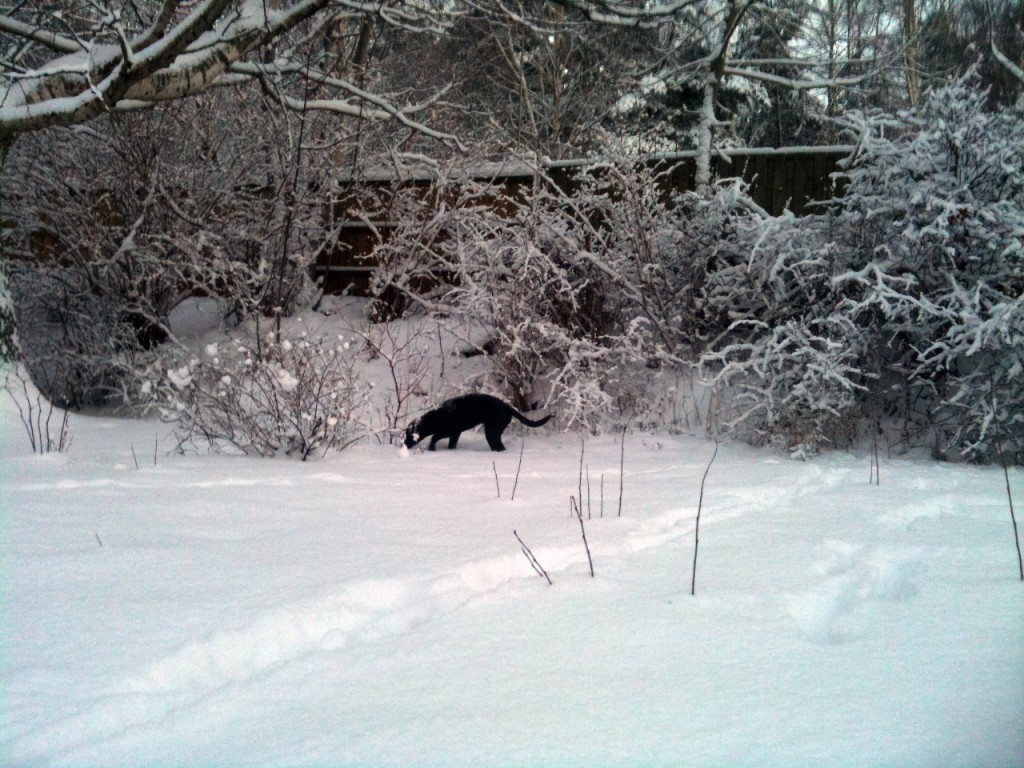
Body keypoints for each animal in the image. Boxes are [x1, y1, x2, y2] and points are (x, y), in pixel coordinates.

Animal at [405, 397, 557, 450]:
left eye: (409, 436)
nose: (404, 445)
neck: (436, 417)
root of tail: (508, 407)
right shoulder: (455, 433)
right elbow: (451, 444)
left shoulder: (449, 431)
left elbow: (434, 437)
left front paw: (432, 449)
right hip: (493, 432)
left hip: (491, 431)